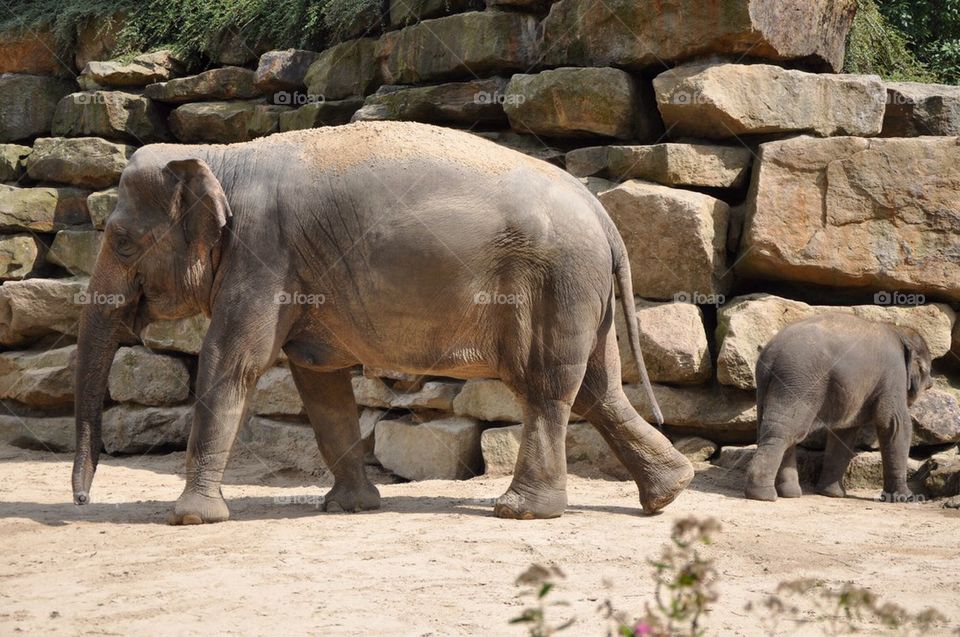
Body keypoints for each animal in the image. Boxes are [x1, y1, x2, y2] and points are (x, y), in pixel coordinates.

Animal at [72, 121, 695, 524]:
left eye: (121, 242)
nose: (81, 501)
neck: (222, 157)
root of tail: (601, 212)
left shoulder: (262, 255)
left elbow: (231, 364)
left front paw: (192, 518)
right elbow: (318, 382)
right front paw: (350, 508)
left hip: (555, 282)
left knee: (546, 386)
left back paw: (522, 512)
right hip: (583, 290)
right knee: (598, 388)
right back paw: (669, 493)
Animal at [744, 313, 932, 503]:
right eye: (926, 370)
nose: (931, 384)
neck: (898, 330)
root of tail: (770, 353)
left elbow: (844, 433)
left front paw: (831, 494)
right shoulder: (894, 374)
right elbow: (895, 424)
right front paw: (907, 498)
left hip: (771, 386)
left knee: (782, 431)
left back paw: (790, 494)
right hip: (798, 382)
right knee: (785, 432)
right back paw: (763, 495)